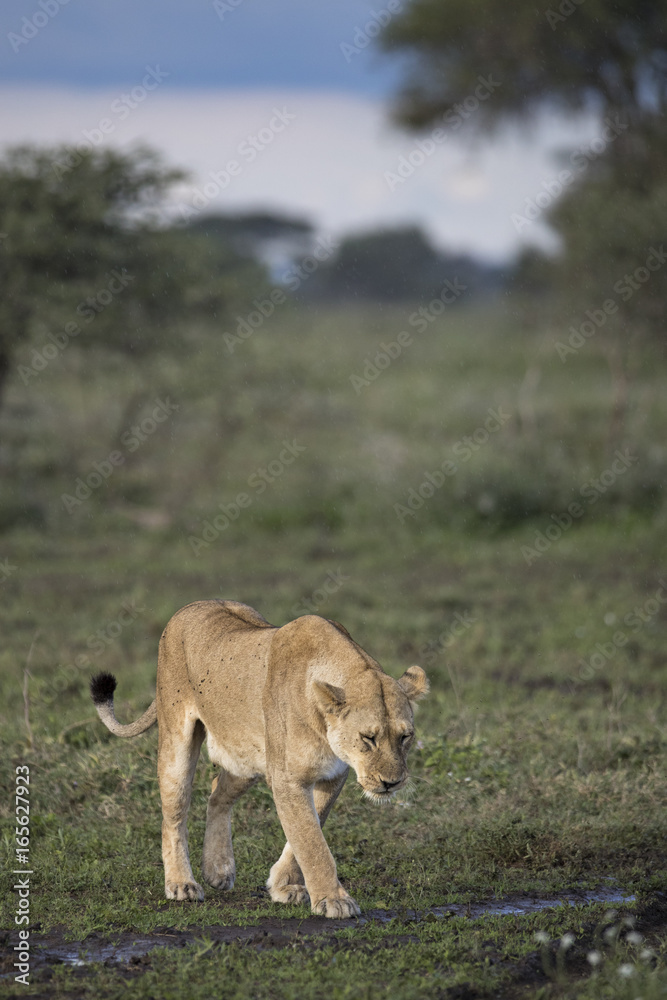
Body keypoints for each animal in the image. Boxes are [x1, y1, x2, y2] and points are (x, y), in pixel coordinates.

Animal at [90, 600, 428, 918]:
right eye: (368, 738)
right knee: (173, 815)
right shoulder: (287, 779)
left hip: (246, 757)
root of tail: (190, 606)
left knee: (216, 794)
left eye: (405, 737)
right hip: (177, 742)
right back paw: (181, 883)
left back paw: (218, 868)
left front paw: (283, 885)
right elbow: (312, 842)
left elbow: (310, 828)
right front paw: (334, 900)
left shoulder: (333, 775)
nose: (391, 782)